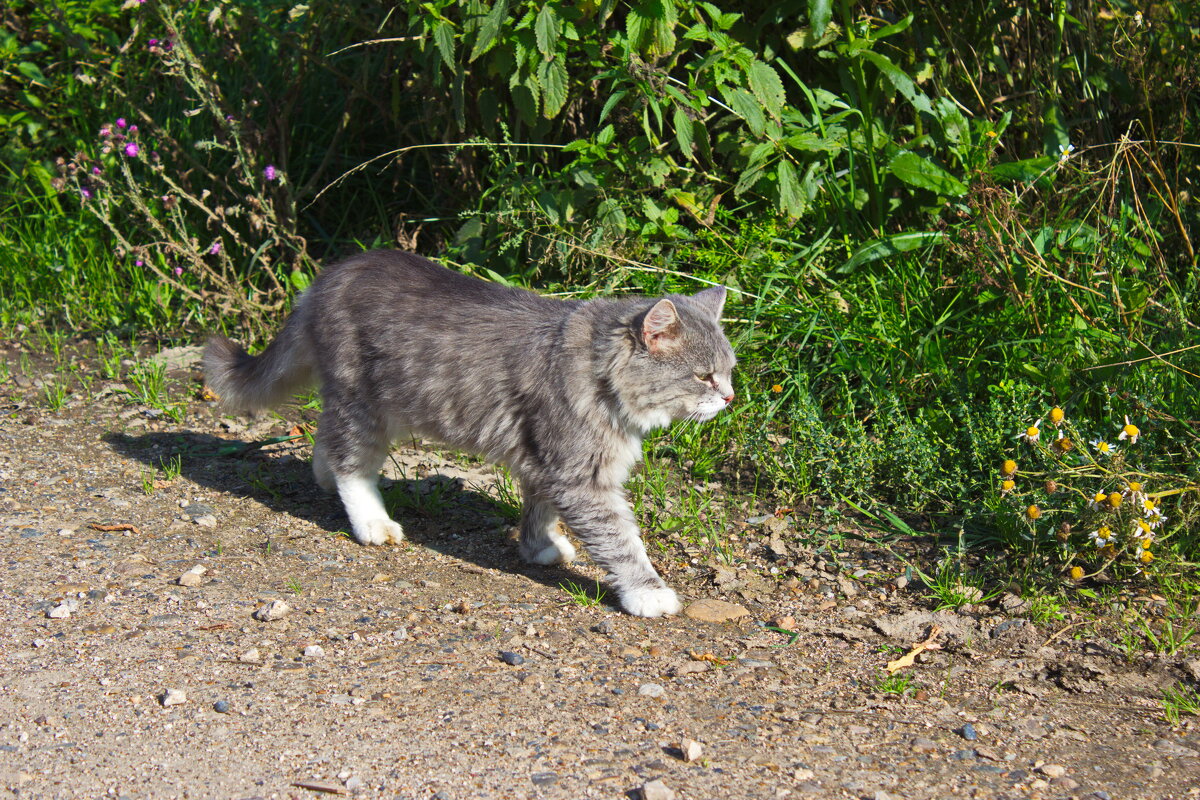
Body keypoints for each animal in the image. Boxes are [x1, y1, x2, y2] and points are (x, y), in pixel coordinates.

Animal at [201, 250, 734, 618]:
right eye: (704, 377)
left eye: (729, 373)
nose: (729, 399)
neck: (597, 371)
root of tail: (330, 276)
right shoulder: (581, 476)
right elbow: (621, 541)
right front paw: (648, 593)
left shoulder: (545, 461)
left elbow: (539, 508)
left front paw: (539, 547)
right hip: (364, 403)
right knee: (352, 461)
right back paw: (372, 522)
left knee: (327, 441)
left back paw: (325, 479)